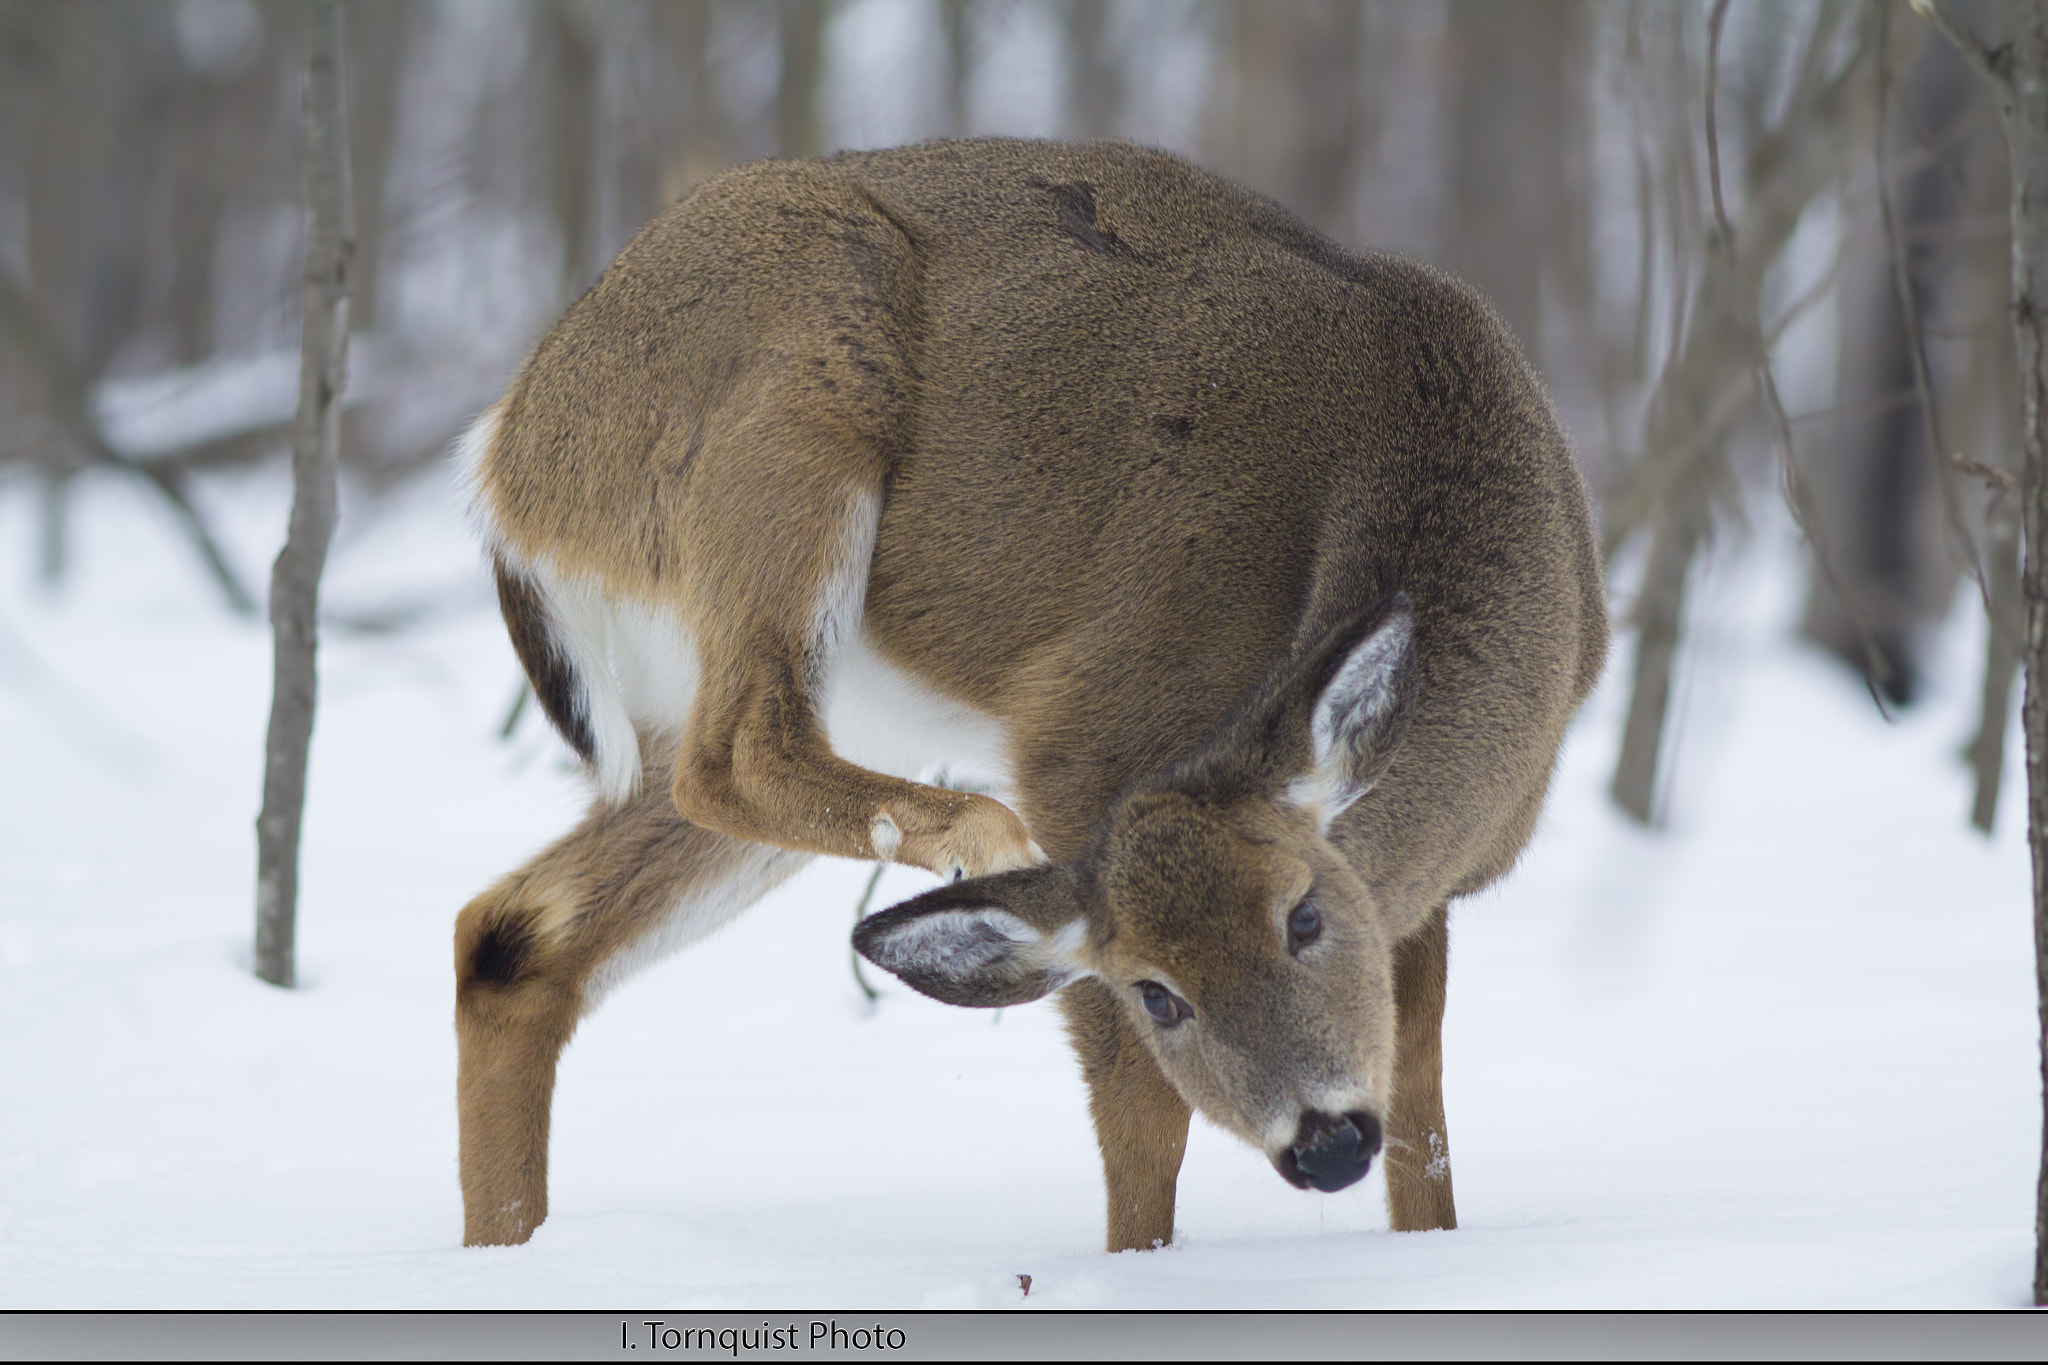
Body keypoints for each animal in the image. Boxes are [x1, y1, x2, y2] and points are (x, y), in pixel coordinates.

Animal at [456, 144, 1605, 1252]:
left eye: (1306, 916)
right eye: (1156, 991)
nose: (1321, 1143)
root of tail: (509, 463)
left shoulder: (1426, 899)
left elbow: (1423, 1121)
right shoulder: (1085, 751)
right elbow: (1141, 1130)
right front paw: (1138, 1272)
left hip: (830, 694)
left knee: (510, 931)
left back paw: (506, 1249)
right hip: (801, 393)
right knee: (731, 754)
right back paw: (979, 835)